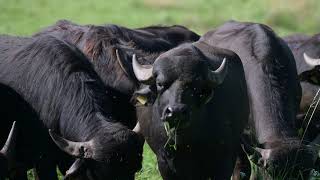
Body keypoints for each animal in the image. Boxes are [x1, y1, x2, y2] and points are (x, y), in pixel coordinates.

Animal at [131, 39, 250, 179]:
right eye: (160, 84)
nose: (176, 112)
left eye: (196, 86)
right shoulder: (164, 161)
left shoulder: (224, 159)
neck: (186, 141)